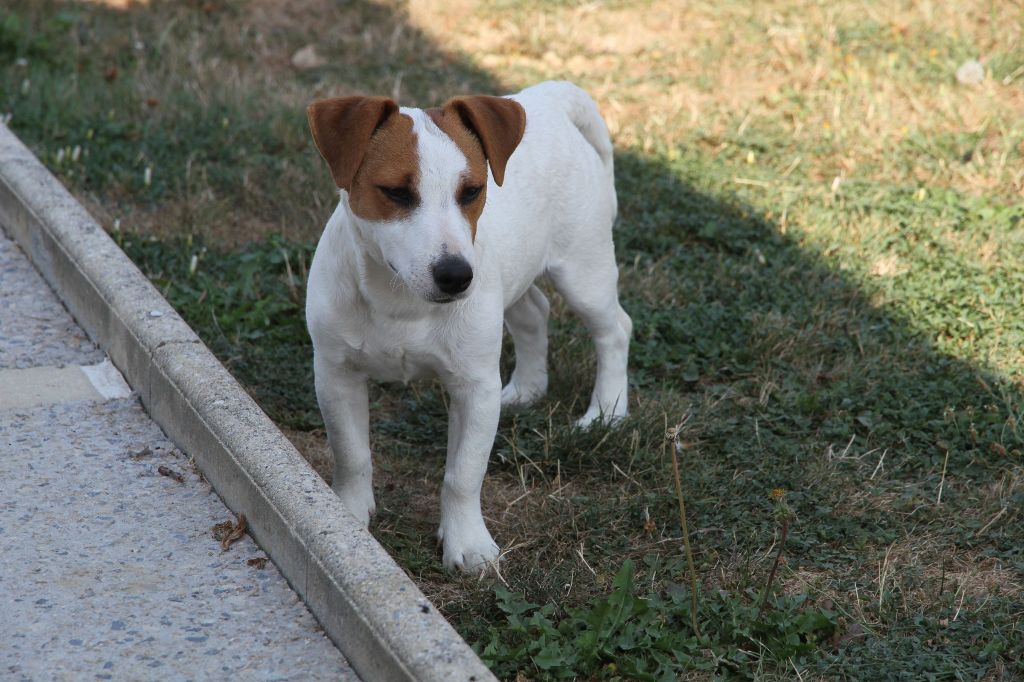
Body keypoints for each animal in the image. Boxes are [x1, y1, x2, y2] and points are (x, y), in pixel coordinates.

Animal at [303, 79, 626, 569]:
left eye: (471, 191)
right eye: (396, 192)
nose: (456, 276)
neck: (401, 300)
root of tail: (550, 98)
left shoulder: (474, 387)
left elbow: (463, 474)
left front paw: (467, 544)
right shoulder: (335, 373)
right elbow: (352, 453)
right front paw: (348, 516)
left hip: (583, 272)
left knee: (614, 330)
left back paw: (606, 412)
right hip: (512, 277)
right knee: (534, 312)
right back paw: (526, 389)